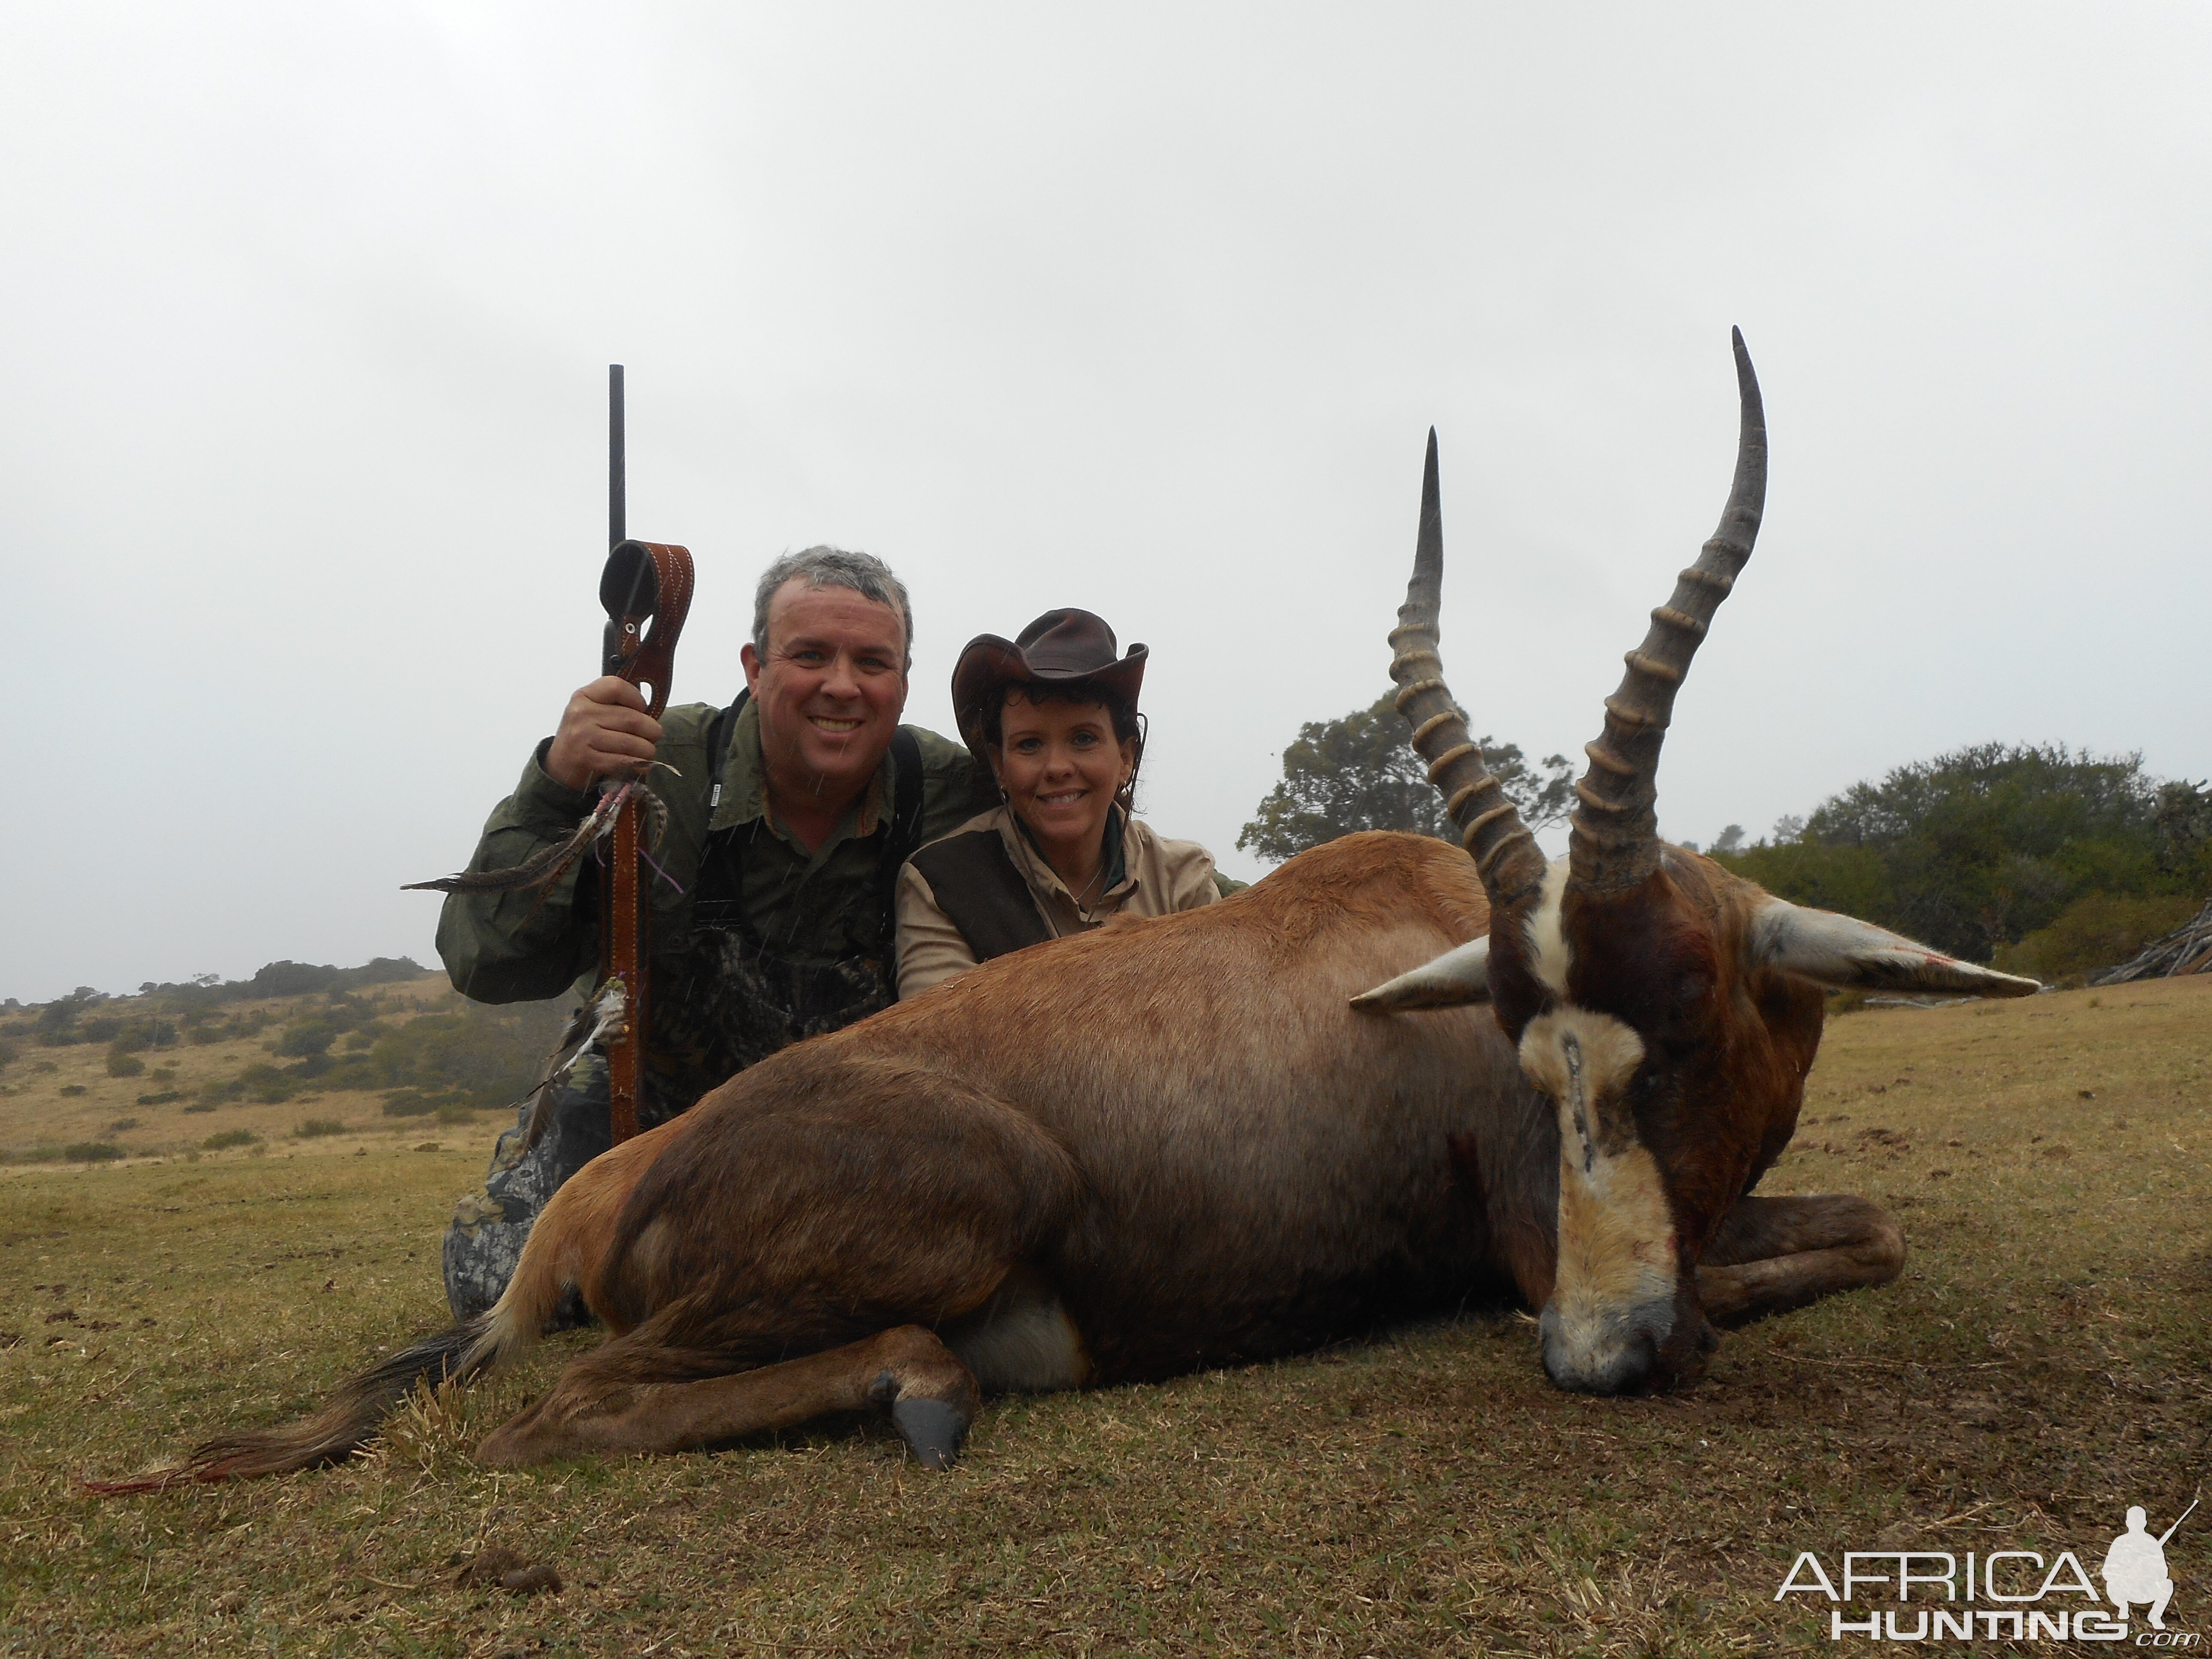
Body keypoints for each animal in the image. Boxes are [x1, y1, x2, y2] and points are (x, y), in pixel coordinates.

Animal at [95, 334, 2026, 1495]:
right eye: (1528, 1048)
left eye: (1684, 1009)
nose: (1601, 1355)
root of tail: (598, 1196)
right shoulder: (1526, 1248)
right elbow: (1866, 1235)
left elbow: (1880, 1224)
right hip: (958, 1206)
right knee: (569, 1404)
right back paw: (927, 1389)